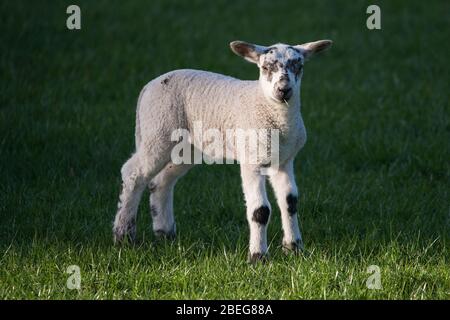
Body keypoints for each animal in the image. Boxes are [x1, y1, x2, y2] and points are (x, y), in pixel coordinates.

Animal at [112, 39, 330, 262]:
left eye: (299, 66)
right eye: (265, 67)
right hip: (157, 130)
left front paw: (294, 249)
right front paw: (258, 256)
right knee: (133, 173)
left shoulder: (284, 160)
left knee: (161, 181)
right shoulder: (251, 158)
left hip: (186, 146)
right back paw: (124, 236)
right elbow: (260, 211)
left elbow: (290, 202)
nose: (283, 89)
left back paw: (165, 234)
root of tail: (147, 87)